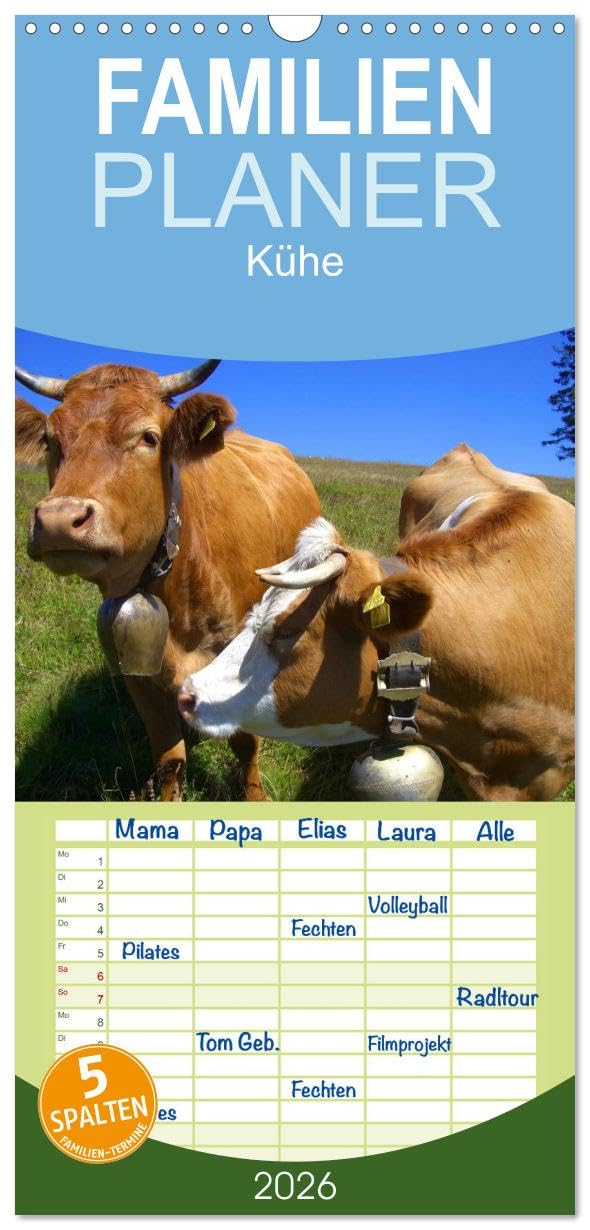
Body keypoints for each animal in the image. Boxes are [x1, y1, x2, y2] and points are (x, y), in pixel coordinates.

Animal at [15, 359, 321, 800]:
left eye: (148, 437)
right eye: (49, 440)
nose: (58, 520)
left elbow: (245, 743)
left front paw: (255, 795)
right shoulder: (137, 671)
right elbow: (169, 755)